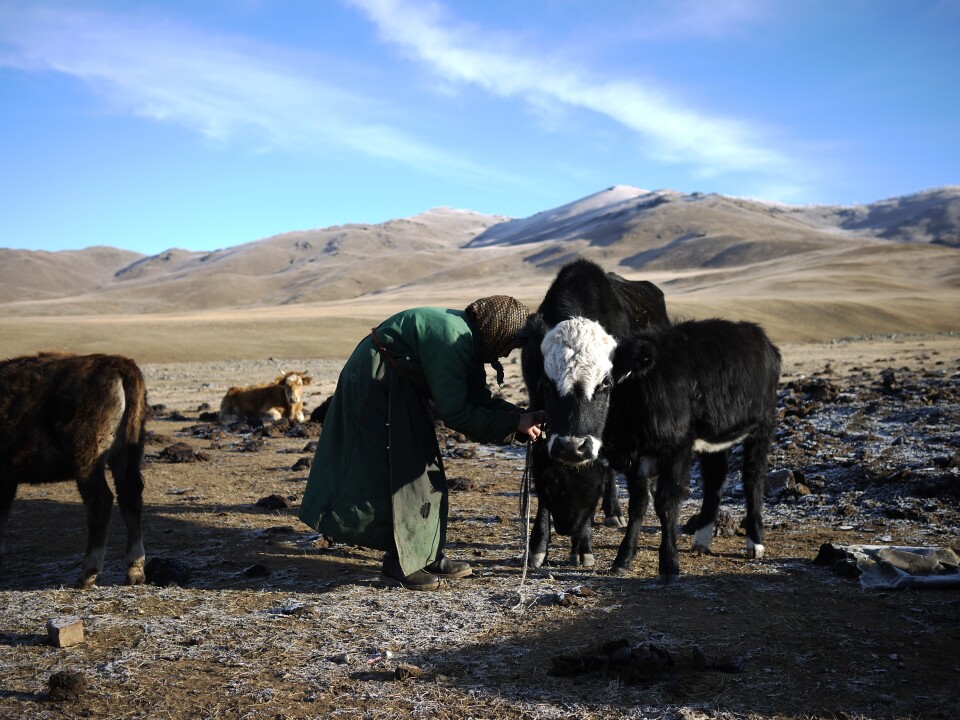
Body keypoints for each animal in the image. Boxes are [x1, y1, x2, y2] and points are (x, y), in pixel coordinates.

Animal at [0, 352, 148, 588]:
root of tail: (118, 362)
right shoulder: (8, 479)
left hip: (88, 460)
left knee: (101, 502)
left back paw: (88, 573)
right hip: (126, 455)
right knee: (130, 499)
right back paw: (134, 571)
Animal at [520, 258, 668, 568]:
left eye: (606, 383)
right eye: (547, 383)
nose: (572, 447)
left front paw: (583, 548)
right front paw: (538, 547)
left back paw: (614, 513)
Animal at [539, 314, 782, 582]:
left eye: (605, 383)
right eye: (548, 384)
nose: (572, 447)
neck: (639, 391)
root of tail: (755, 334)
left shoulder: (676, 450)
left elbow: (666, 503)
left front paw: (669, 564)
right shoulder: (635, 458)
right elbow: (638, 504)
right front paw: (623, 559)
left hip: (762, 426)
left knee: (753, 477)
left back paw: (755, 542)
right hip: (715, 439)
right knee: (715, 478)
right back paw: (702, 539)